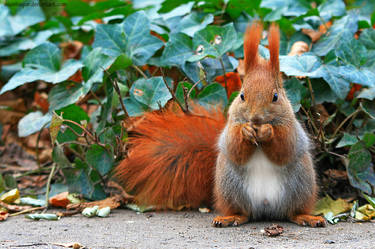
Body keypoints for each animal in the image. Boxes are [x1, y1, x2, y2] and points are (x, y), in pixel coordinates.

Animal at [116, 21, 328, 228]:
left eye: (275, 97)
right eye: (242, 96)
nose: (256, 119)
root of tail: (266, 209)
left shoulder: (293, 131)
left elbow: (285, 148)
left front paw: (268, 131)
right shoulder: (229, 131)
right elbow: (234, 147)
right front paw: (245, 131)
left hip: (300, 185)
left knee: (292, 211)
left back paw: (307, 217)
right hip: (230, 186)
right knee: (244, 212)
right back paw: (230, 218)